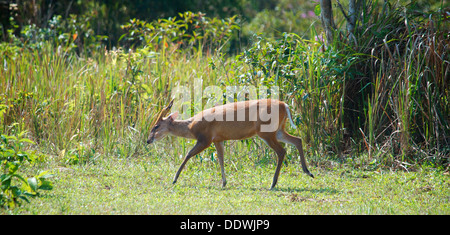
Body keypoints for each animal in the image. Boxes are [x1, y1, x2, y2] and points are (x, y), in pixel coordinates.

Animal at [148, 98, 312, 189]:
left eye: (156, 126)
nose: (148, 140)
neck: (191, 126)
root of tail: (285, 105)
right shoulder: (218, 140)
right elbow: (221, 159)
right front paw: (224, 183)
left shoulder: (205, 139)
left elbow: (188, 155)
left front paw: (174, 179)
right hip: (278, 130)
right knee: (298, 140)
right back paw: (308, 172)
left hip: (266, 132)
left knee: (282, 151)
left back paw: (273, 184)